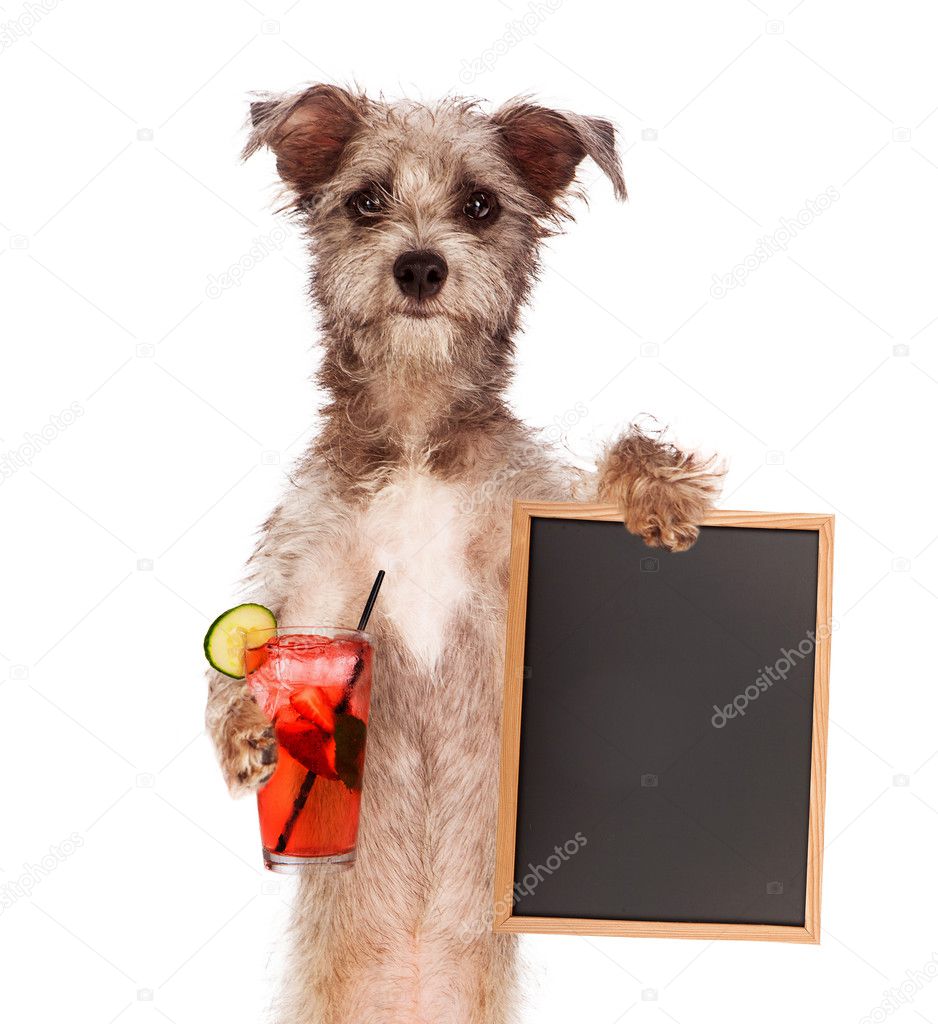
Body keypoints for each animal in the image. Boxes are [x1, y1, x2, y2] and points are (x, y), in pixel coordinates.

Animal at [203, 83, 716, 1019]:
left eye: (480, 205)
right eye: (367, 200)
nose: (420, 267)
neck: (414, 435)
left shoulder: (530, 548)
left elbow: (617, 461)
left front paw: (656, 489)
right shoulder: (307, 588)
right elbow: (252, 654)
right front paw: (251, 726)